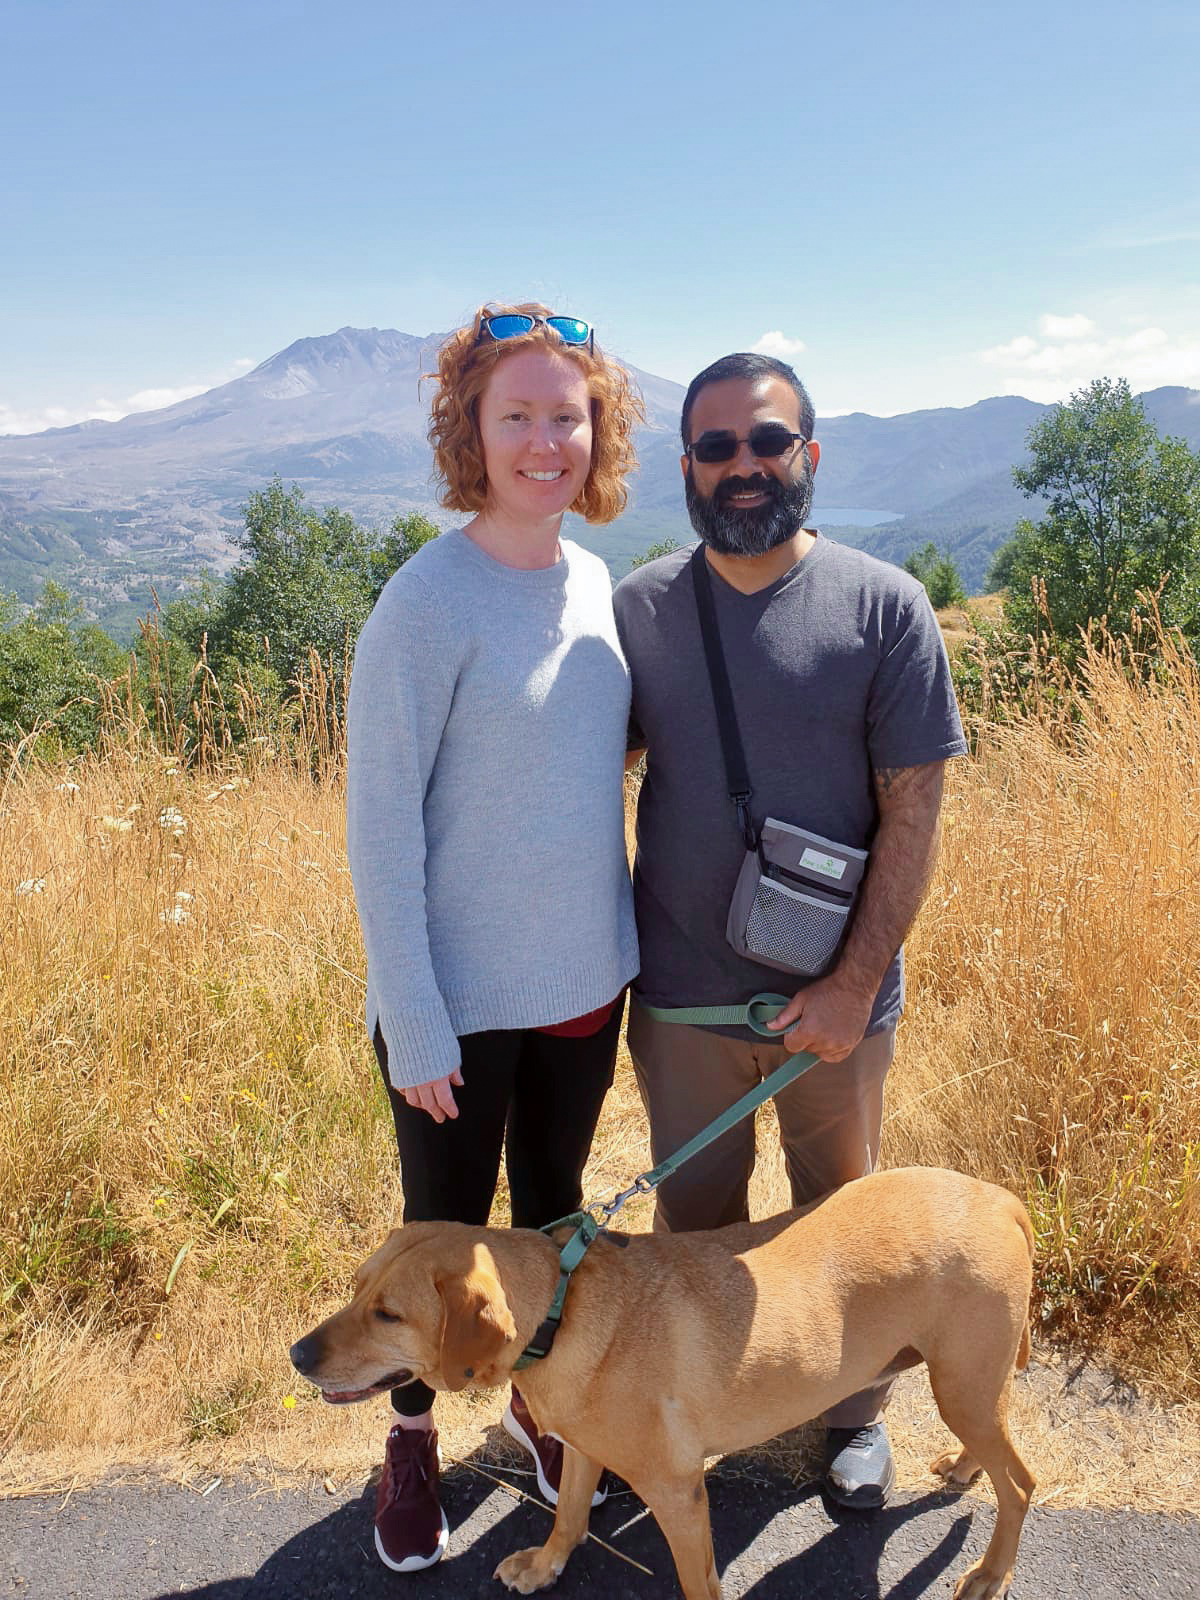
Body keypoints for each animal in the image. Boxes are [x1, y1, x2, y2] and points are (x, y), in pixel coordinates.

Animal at [294, 1164, 1043, 1600]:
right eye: (357, 1288)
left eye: (390, 1314)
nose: (298, 1354)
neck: (562, 1313)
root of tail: (999, 1197)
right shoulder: (584, 1450)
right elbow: (568, 1516)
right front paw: (546, 1566)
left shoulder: (680, 1494)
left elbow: (695, 1581)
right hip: (966, 1386)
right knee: (995, 1447)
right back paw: (964, 1468)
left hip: (961, 1384)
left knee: (1022, 1484)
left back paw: (991, 1572)